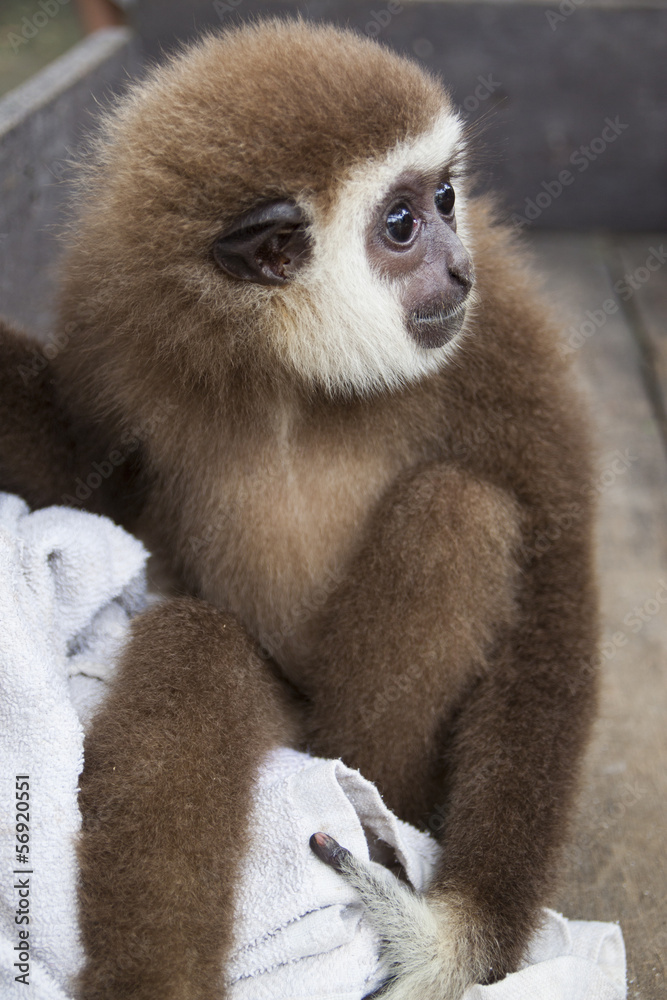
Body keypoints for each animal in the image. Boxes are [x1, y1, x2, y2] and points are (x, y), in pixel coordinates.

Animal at [0, 19, 599, 1000]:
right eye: (401, 224)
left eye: (446, 198)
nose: (456, 263)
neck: (287, 362)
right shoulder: (112, 314)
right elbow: (86, 470)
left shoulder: (500, 331)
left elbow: (554, 587)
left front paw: (452, 942)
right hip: (286, 725)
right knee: (196, 646)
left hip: (347, 746)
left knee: (455, 512)